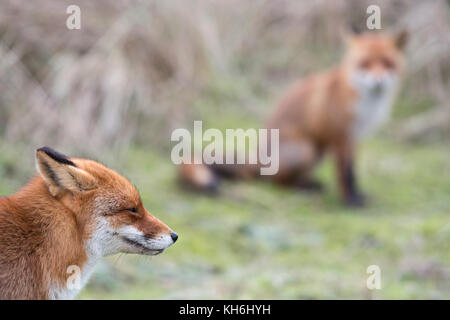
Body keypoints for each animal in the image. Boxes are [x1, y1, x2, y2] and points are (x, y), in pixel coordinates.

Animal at [179, 29, 408, 205]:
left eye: (387, 63)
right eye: (365, 63)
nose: (378, 81)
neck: (365, 102)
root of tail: (259, 157)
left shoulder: (355, 137)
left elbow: (354, 172)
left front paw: (358, 195)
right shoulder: (339, 135)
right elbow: (345, 173)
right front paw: (350, 202)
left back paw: (311, 184)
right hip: (307, 149)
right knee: (276, 183)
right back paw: (304, 188)